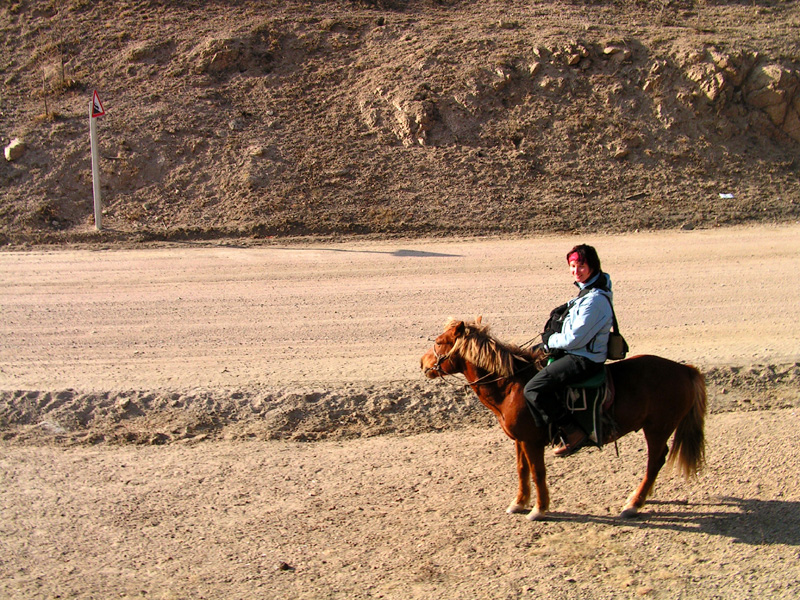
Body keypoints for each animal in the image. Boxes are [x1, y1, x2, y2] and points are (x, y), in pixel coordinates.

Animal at [418, 318, 708, 520]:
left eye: (440, 342)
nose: (423, 363)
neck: (510, 386)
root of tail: (684, 369)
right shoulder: (519, 440)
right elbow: (522, 470)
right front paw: (519, 502)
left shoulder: (532, 441)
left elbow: (538, 472)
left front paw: (539, 509)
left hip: (657, 429)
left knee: (655, 461)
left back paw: (634, 504)